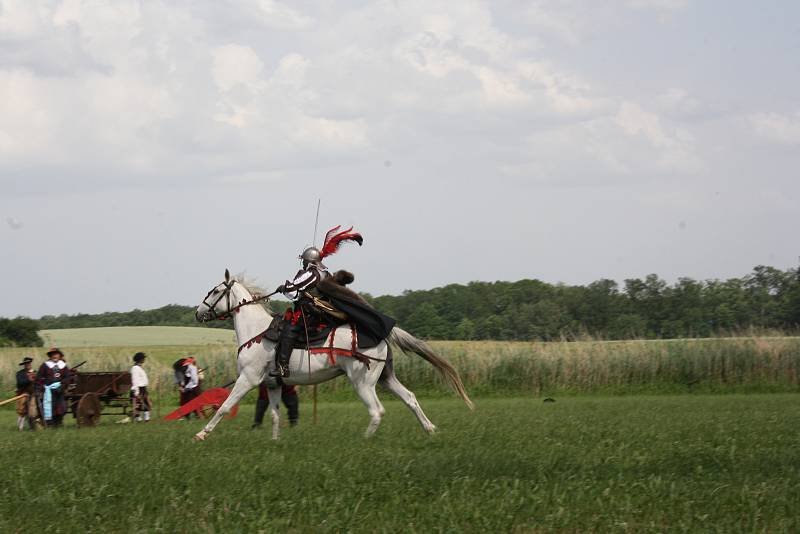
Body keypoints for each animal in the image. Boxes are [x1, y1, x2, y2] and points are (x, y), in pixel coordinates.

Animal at [191, 272, 472, 444]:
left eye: (215, 291)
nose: (197, 313)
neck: (256, 331)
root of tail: (382, 334)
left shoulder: (247, 379)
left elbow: (224, 406)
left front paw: (201, 434)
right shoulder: (272, 385)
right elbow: (274, 415)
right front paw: (275, 441)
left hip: (363, 383)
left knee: (377, 411)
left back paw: (364, 440)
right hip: (385, 378)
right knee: (410, 398)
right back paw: (430, 429)